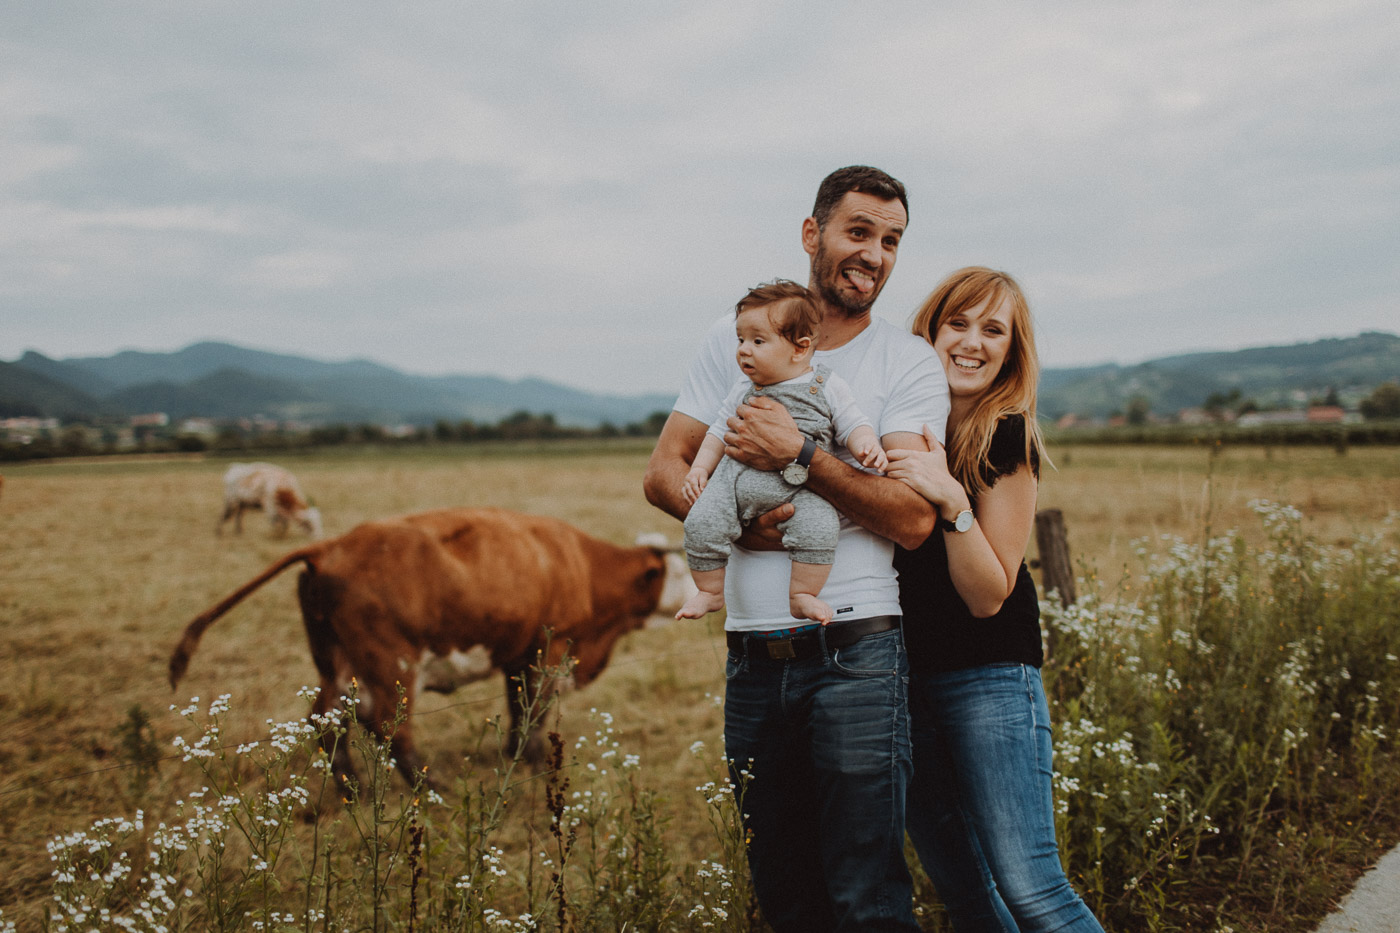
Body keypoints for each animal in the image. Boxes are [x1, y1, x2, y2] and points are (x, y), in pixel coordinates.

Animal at [169, 509, 672, 784]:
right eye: (671, 571)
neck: (578, 562)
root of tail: (330, 547)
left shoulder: (516, 655)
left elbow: (518, 711)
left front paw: (515, 754)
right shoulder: (549, 650)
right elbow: (535, 713)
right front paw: (532, 764)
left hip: (337, 663)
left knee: (327, 720)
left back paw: (352, 788)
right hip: (393, 665)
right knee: (391, 728)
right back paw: (429, 792)